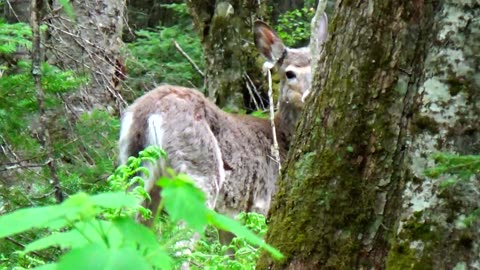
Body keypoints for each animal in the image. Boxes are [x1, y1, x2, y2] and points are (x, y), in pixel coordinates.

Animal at [119, 13, 328, 228]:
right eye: (289, 73)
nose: (309, 95)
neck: (282, 137)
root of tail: (150, 111)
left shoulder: (233, 217)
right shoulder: (261, 204)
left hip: (136, 168)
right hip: (200, 171)